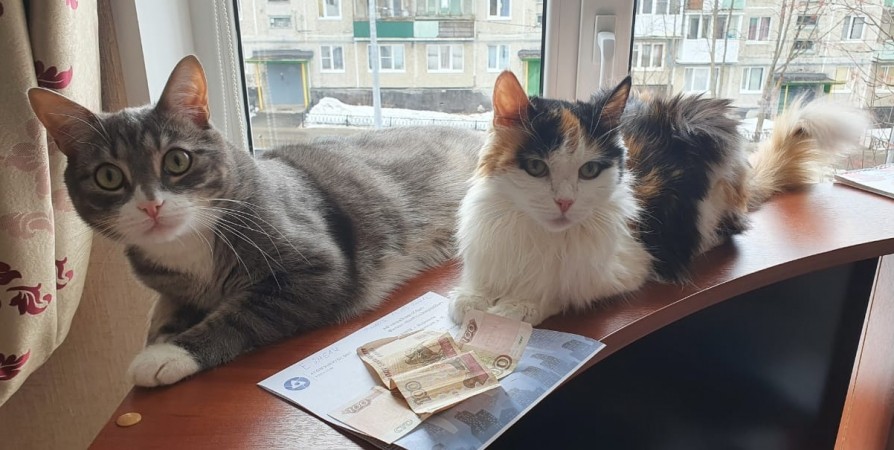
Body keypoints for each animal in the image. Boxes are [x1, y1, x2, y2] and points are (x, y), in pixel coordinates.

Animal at [27, 55, 484, 387]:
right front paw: (162, 330)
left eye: (177, 160)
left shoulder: (318, 270)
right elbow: (166, 305)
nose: (150, 206)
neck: (191, 245)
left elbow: (243, 313)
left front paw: (168, 353)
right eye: (108, 176)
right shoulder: (168, 280)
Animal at [449, 71, 868, 326]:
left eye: (589, 170)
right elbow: (472, 291)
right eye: (536, 167)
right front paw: (471, 299)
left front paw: (517, 306)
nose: (565, 203)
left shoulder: (629, 264)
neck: (538, 236)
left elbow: (561, 289)